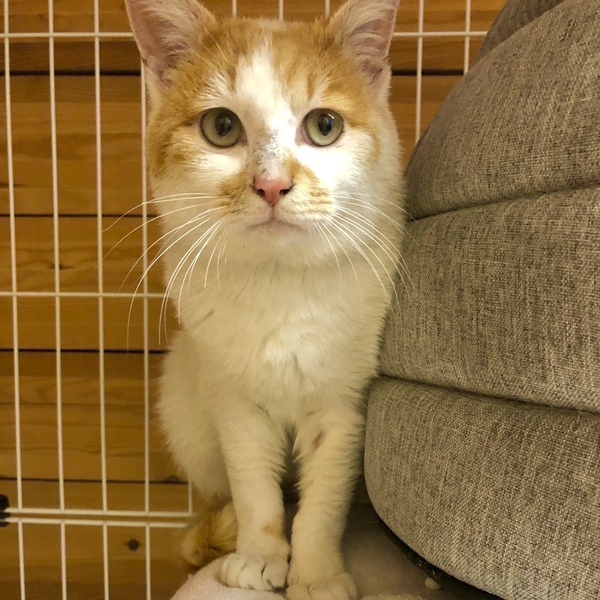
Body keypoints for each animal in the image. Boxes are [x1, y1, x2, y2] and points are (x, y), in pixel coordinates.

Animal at [124, 1, 404, 599]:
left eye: (324, 125)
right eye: (221, 127)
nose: (272, 185)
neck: (280, 285)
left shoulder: (343, 406)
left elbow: (323, 502)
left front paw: (317, 575)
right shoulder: (233, 403)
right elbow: (254, 489)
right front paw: (258, 557)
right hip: (184, 402)